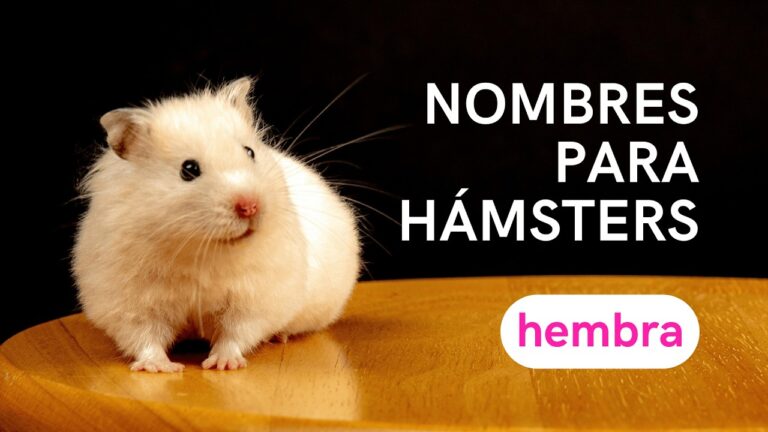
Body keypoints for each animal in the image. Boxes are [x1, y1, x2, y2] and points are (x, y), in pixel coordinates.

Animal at [73, 78, 361, 372]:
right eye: (189, 169)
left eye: (250, 152)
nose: (250, 206)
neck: (201, 248)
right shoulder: (130, 302)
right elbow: (144, 337)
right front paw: (161, 367)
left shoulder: (254, 298)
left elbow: (235, 333)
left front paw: (222, 364)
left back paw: (279, 336)